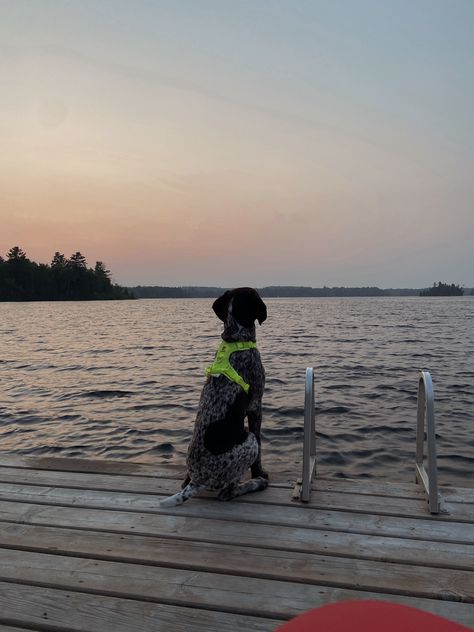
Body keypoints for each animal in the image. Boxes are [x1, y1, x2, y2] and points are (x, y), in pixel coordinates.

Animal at [161, 288, 268, 508]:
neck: (235, 338)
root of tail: (198, 480)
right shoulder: (256, 406)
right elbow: (260, 453)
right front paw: (259, 473)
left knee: (185, 483)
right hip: (248, 441)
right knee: (227, 492)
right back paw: (256, 483)